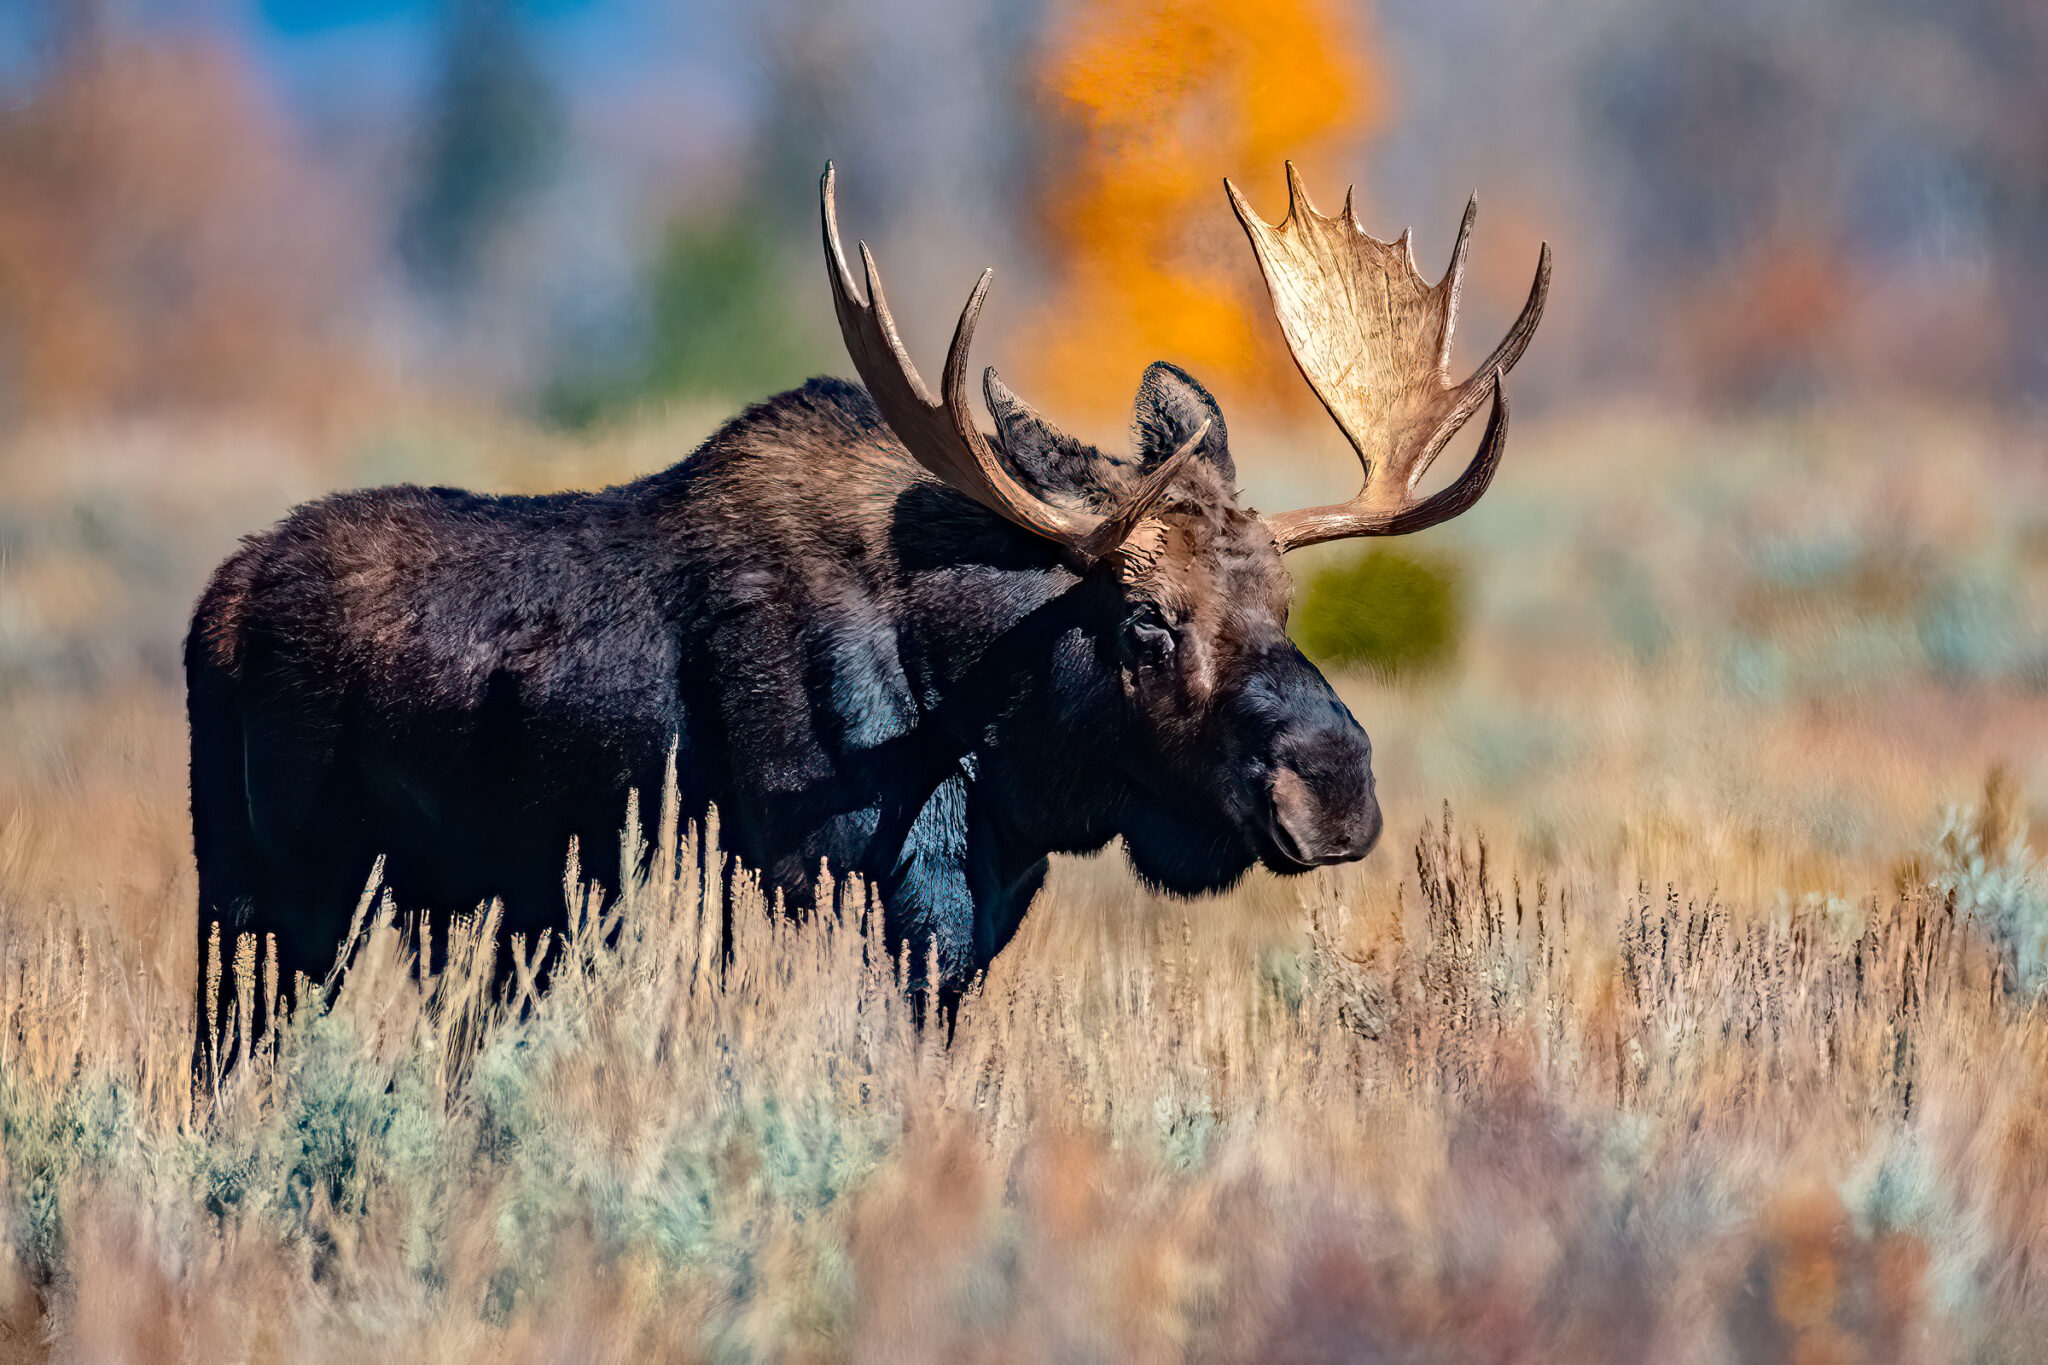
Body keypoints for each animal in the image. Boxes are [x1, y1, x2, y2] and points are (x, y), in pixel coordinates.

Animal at [186, 163, 1548, 1047]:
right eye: (1144, 623)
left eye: (1284, 600)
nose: (1335, 786)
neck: (991, 738)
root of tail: (218, 605)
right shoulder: (837, 895)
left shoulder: (961, 928)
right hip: (268, 904)